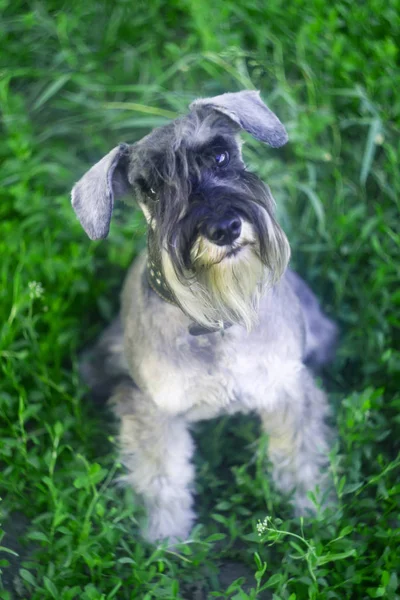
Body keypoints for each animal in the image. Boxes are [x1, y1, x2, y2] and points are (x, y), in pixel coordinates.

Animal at [70, 90, 336, 544]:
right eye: (152, 187)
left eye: (220, 155)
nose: (224, 227)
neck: (217, 319)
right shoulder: (154, 410)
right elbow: (162, 477)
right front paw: (166, 542)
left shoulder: (287, 386)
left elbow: (298, 453)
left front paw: (314, 512)